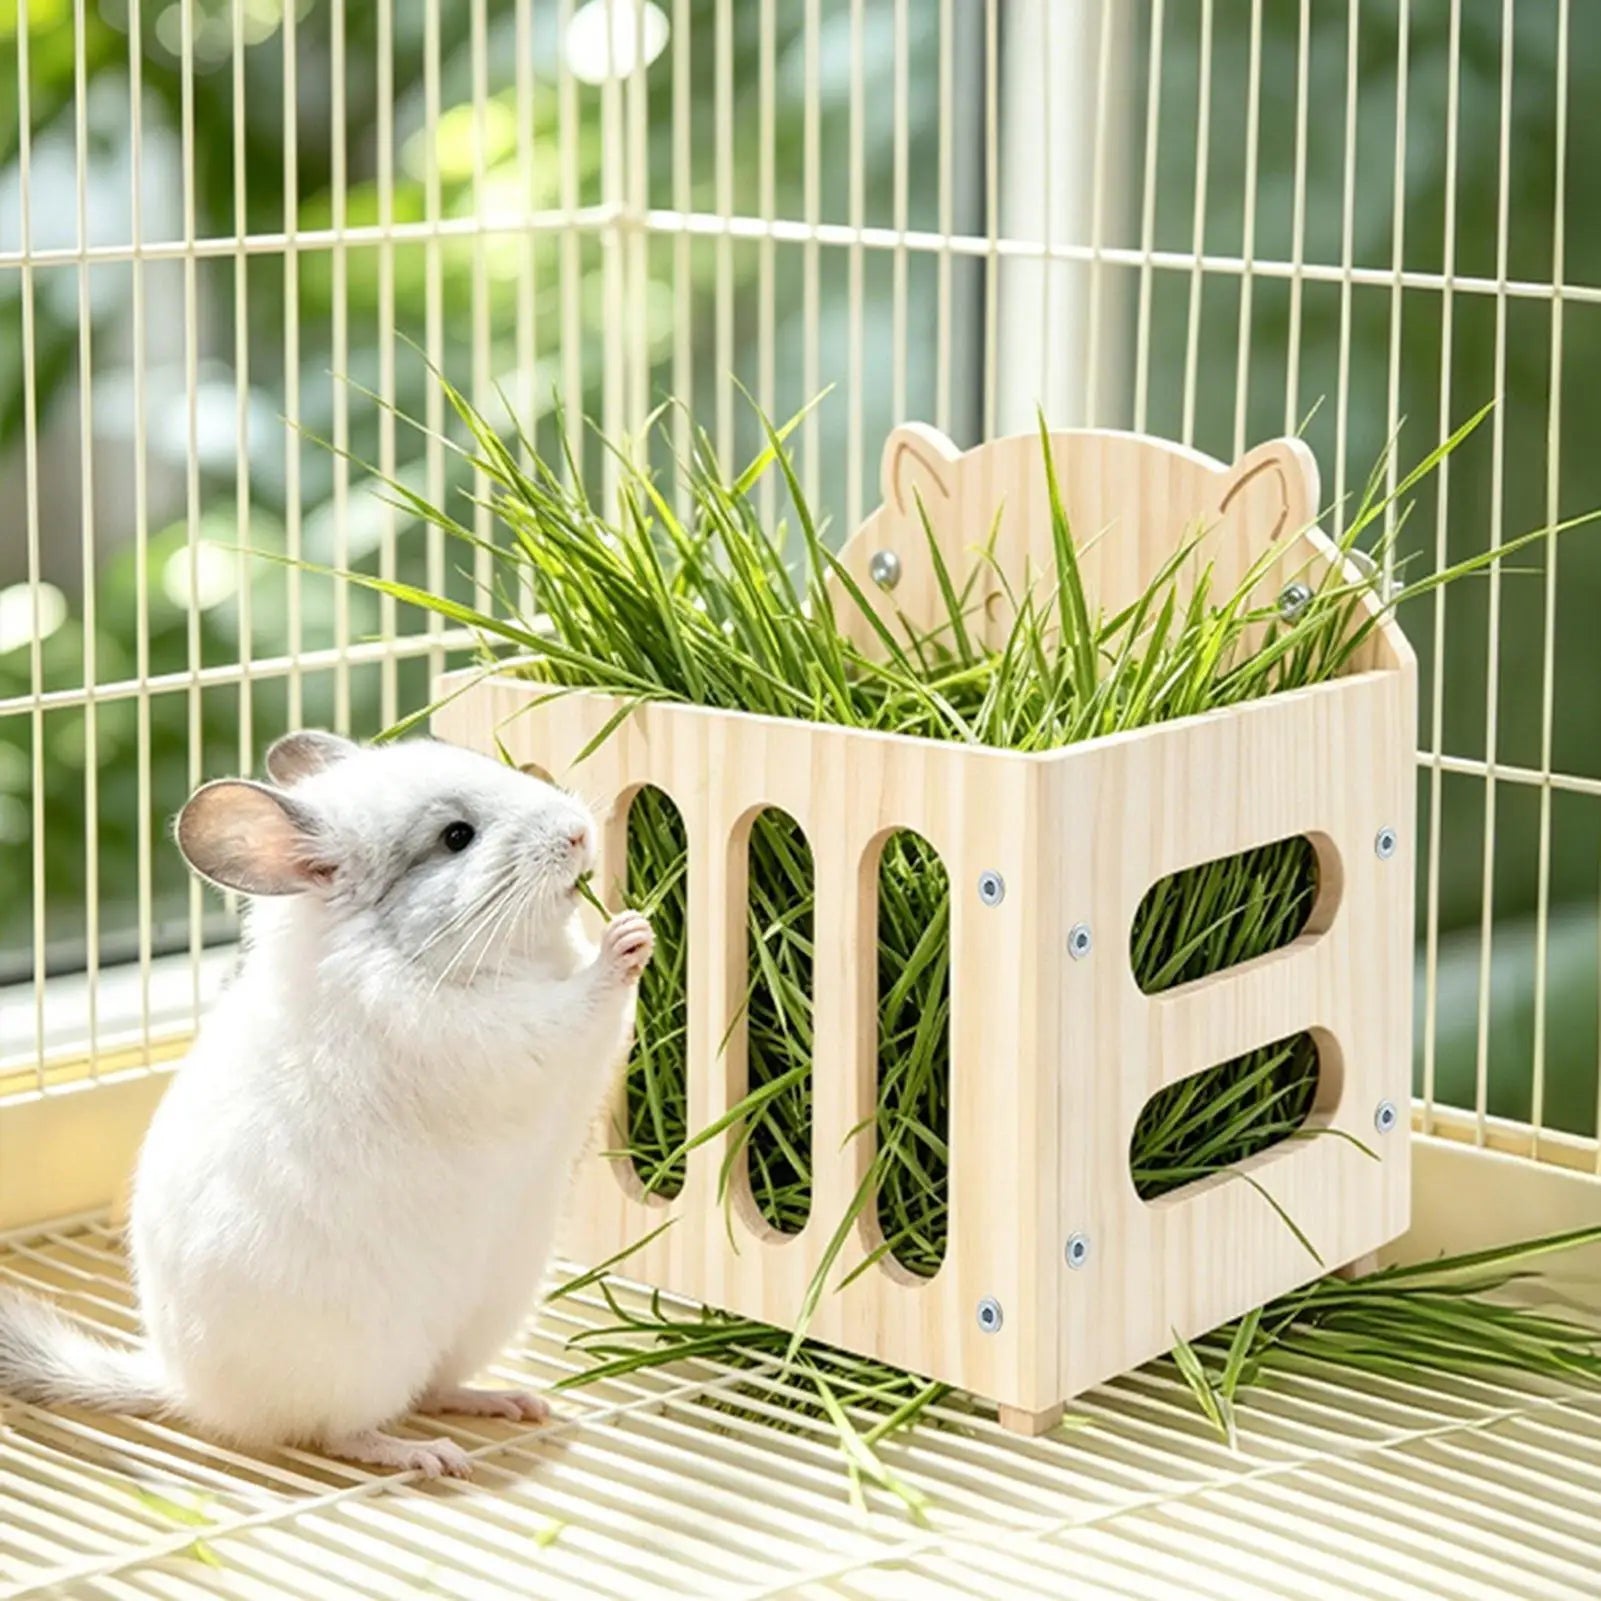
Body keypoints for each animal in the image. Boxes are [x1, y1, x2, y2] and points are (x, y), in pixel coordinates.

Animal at [0, 729, 653, 1479]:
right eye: (456, 836)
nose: (578, 833)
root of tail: (187, 1389)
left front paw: (637, 921)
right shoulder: (494, 1035)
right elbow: (580, 1004)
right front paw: (626, 936)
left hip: (483, 1315)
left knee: (434, 1387)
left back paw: (508, 1401)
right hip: (358, 1367)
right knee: (337, 1431)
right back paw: (425, 1452)